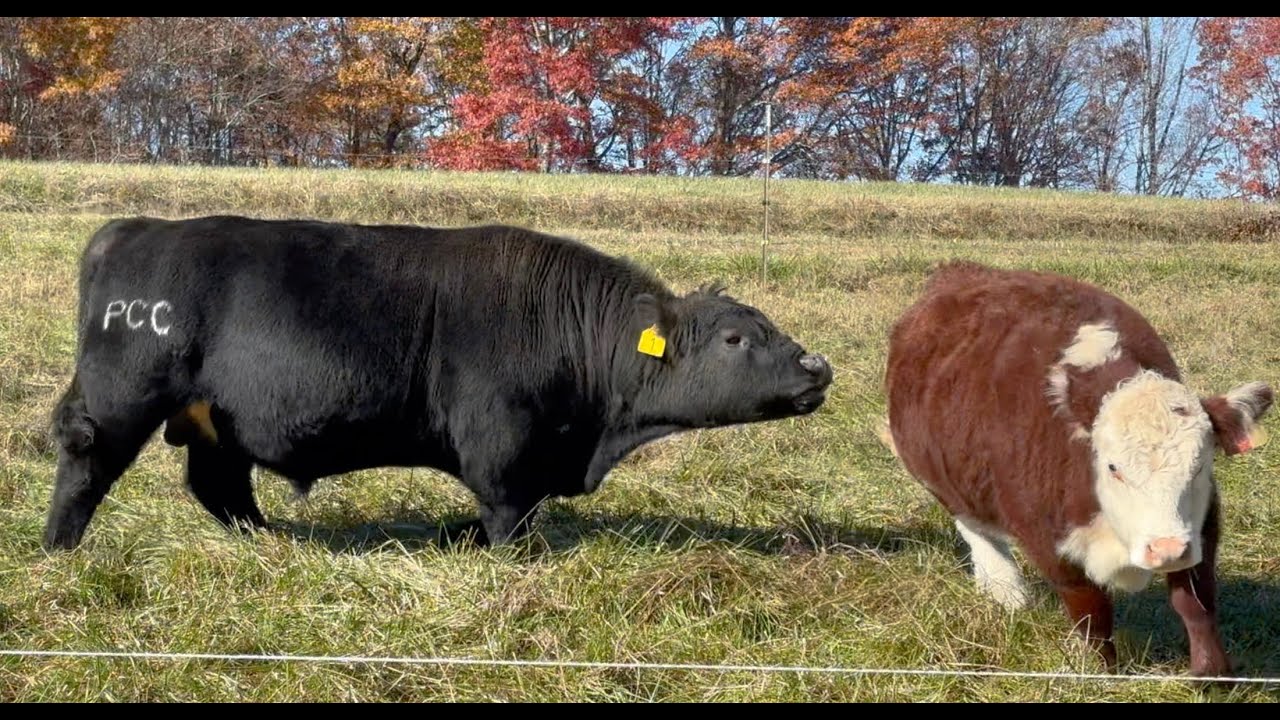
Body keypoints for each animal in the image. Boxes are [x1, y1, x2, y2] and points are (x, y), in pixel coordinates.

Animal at [43, 216, 834, 552]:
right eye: (735, 339)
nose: (816, 367)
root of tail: (135, 226)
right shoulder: (503, 445)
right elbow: (508, 516)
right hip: (122, 400)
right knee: (85, 461)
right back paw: (60, 549)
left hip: (217, 420)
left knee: (221, 486)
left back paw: (270, 542)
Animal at [882, 260, 1272, 676]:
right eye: (1113, 467)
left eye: (1199, 466)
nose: (1165, 549)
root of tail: (960, 271)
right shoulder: (1050, 542)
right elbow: (1091, 611)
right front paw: (1102, 674)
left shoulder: (1199, 527)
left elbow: (1195, 602)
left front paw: (1212, 673)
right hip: (942, 479)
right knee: (976, 529)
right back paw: (1006, 590)